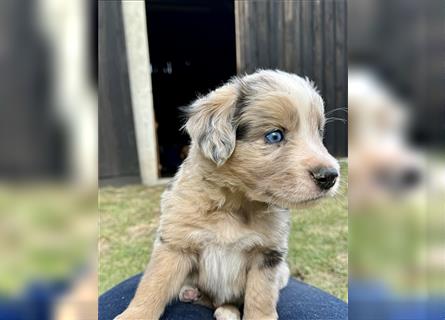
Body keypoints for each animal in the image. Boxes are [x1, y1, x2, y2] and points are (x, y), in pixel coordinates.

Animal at [115, 70, 340, 320]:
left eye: (318, 133)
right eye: (274, 136)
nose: (330, 176)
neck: (233, 204)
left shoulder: (268, 255)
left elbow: (261, 297)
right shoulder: (175, 244)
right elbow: (152, 285)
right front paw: (134, 315)